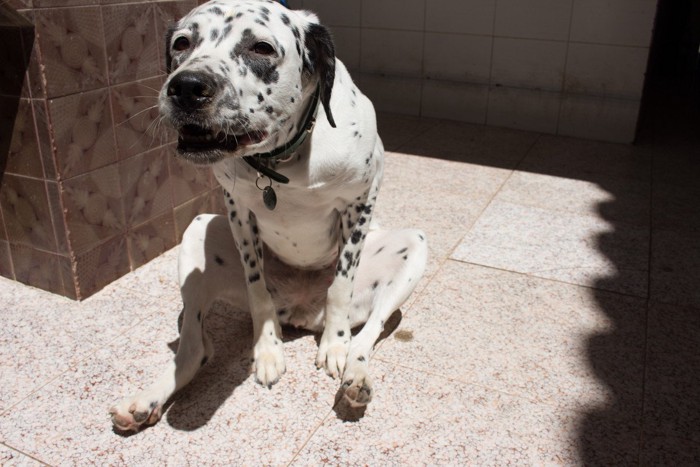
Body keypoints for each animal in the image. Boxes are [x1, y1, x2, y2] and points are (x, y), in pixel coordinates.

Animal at [109, 0, 426, 432]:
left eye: (261, 47)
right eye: (182, 43)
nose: (186, 86)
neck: (283, 161)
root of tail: (302, 309)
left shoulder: (361, 201)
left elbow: (341, 286)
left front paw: (334, 344)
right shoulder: (237, 209)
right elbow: (256, 287)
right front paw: (268, 350)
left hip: (414, 247)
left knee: (369, 331)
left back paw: (354, 374)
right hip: (196, 233)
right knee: (194, 347)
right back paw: (147, 399)